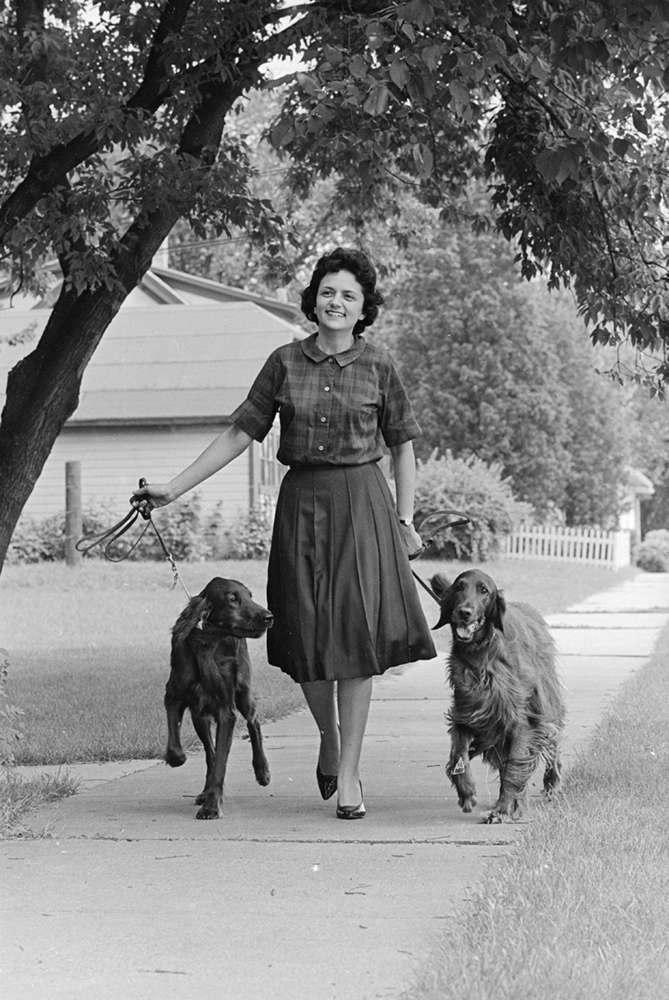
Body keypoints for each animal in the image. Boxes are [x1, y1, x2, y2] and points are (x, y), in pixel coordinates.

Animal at [164, 580, 272, 820]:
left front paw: (212, 807)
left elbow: (220, 762)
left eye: (250, 596)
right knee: (209, 751)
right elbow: (176, 747)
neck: (207, 644)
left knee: (254, 722)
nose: (269, 616)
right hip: (199, 717)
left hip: (243, 692)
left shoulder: (226, 712)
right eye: (232, 599)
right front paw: (178, 759)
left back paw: (262, 771)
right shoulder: (173, 697)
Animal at [428, 568, 564, 824]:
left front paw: (502, 810)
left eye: (484, 590)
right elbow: (458, 753)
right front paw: (467, 791)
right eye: (459, 587)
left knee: (553, 744)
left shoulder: (520, 721)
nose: (464, 612)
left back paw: (552, 784)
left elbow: (513, 767)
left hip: (547, 702)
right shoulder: (467, 714)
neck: (480, 654)